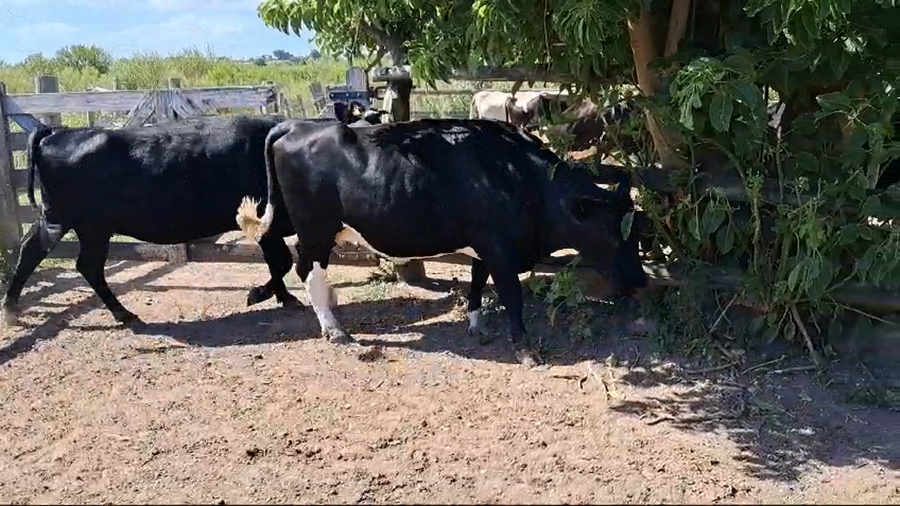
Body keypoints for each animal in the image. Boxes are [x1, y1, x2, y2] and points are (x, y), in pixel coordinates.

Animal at [0, 107, 385, 328]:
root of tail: (60, 131)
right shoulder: (267, 225)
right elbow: (281, 261)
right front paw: (261, 294)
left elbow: (280, 262)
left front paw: (280, 296)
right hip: (78, 223)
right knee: (65, 260)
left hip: (74, 223)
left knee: (53, 255)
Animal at [234, 118, 648, 367]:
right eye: (613, 233)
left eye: (639, 233)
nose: (641, 280)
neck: (520, 176)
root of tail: (296, 124)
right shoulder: (498, 247)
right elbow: (511, 295)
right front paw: (525, 347)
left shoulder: (483, 245)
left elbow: (477, 283)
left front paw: (478, 327)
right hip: (315, 229)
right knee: (307, 268)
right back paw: (336, 331)